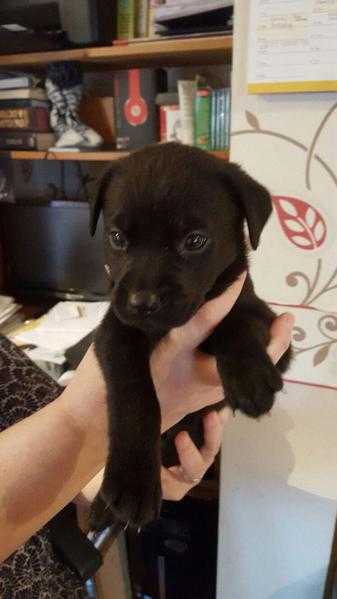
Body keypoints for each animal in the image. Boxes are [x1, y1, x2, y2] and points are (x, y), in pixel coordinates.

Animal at [90, 142, 292, 536]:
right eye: (117, 238)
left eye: (194, 241)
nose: (142, 303)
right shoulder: (116, 329)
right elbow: (135, 394)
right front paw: (133, 483)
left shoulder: (266, 322)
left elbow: (237, 322)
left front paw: (249, 379)